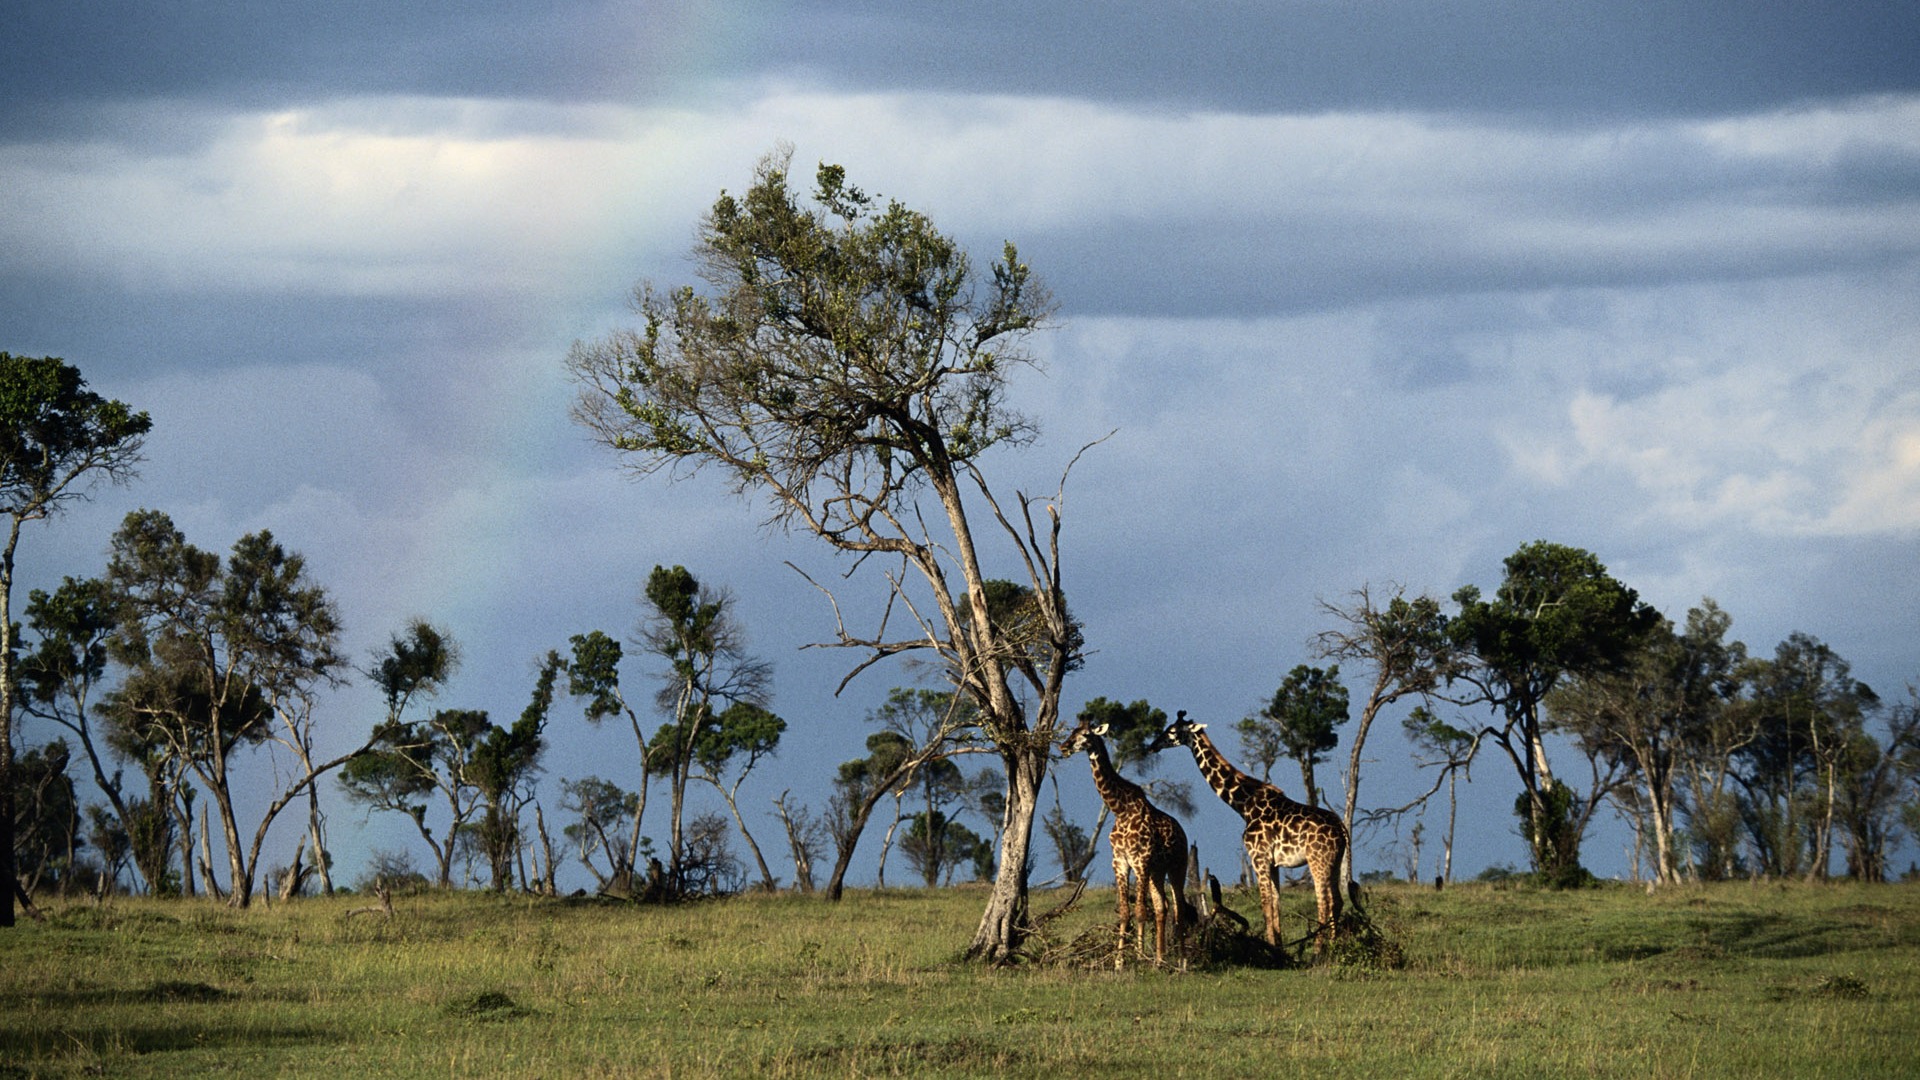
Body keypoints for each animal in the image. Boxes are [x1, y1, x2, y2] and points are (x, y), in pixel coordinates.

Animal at [1144, 711, 1359, 945]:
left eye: (1172, 731)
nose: (1153, 746)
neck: (1244, 805)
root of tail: (1342, 829)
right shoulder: (1274, 863)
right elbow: (1276, 903)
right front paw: (1279, 946)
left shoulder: (1258, 857)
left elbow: (1265, 903)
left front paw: (1272, 946)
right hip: (1335, 861)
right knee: (1337, 901)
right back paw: (1333, 944)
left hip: (1317, 860)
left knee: (1325, 901)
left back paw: (1320, 948)